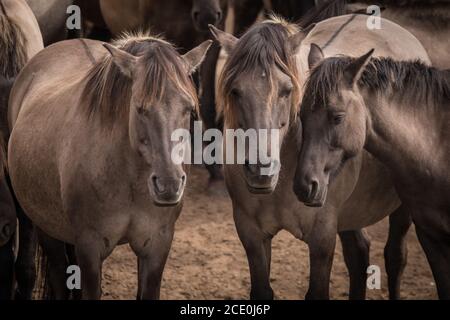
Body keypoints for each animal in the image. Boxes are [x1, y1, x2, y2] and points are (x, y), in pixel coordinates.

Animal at [7, 33, 211, 300]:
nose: (169, 185)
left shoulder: (157, 245)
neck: (130, 180)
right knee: (58, 275)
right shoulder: (90, 247)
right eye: (140, 108)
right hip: (42, 224)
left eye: (188, 109)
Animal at [213, 13, 430, 300]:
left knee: (395, 256)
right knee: (358, 254)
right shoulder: (252, 235)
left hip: (402, 206)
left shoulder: (322, 239)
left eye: (287, 90)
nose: (261, 170)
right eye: (236, 91)